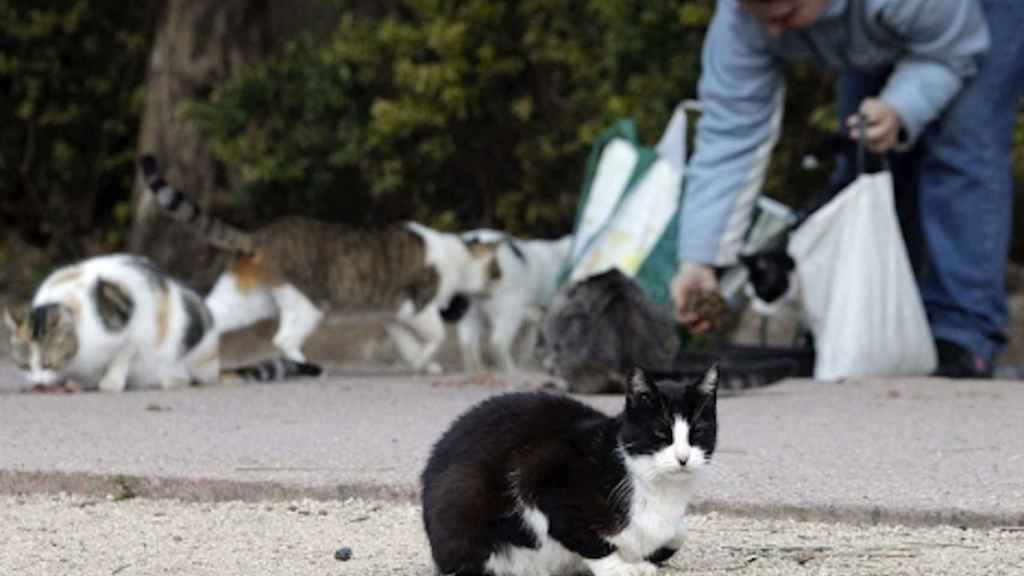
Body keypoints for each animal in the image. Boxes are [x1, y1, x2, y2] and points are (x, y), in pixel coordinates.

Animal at [3, 252, 319, 389]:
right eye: (24, 366)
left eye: (48, 362)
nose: (38, 383)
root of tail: (215, 366)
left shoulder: (133, 328)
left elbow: (122, 356)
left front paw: (110, 382)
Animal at [139, 155, 499, 373]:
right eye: (497, 271)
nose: (499, 283)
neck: (458, 253)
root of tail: (262, 235)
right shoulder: (417, 306)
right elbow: (435, 335)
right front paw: (425, 360)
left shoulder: (392, 316)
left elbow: (408, 345)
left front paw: (420, 365)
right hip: (308, 303)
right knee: (283, 339)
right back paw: (306, 367)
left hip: (248, 300)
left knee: (207, 315)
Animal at [419, 362, 716, 573]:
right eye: (661, 434)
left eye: (698, 433)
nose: (683, 458)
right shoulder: (539, 474)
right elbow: (579, 533)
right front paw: (621, 567)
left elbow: (678, 534)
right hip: (464, 493)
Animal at [458, 229, 577, 373]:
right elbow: (530, 342)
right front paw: (525, 364)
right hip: (507, 309)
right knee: (497, 342)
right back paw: (511, 370)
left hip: (470, 312)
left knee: (467, 344)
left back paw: (477, 372)